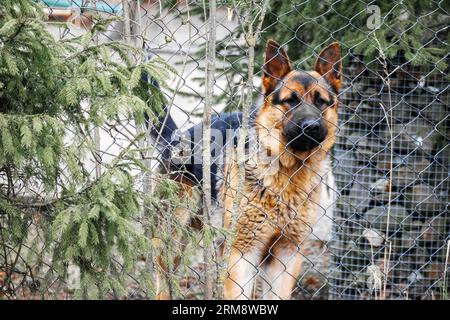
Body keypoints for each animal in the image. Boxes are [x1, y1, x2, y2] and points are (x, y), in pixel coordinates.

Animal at [149, 38, 342, 298]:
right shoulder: (242, 254)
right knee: (163, 282)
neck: (287, 173)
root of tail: (177, 138)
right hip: (172, 239)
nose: (310, 127)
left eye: (320, 101)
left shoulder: (287, 256)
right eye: (291, 100)